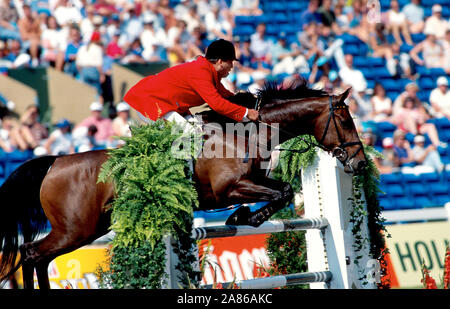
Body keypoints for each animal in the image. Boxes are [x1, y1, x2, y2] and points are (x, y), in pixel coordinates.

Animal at [0, 80, 366, 288]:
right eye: (346, 120)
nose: (360, 163)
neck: (248, 132)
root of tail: (53, 163)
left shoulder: (256, 179)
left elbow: (281, 191)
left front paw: (243, 216)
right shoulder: (231, 188)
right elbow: (281, 193)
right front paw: (244, 216)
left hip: (88, 228)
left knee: (40, 258)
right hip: (76, 228)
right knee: (31, 253)